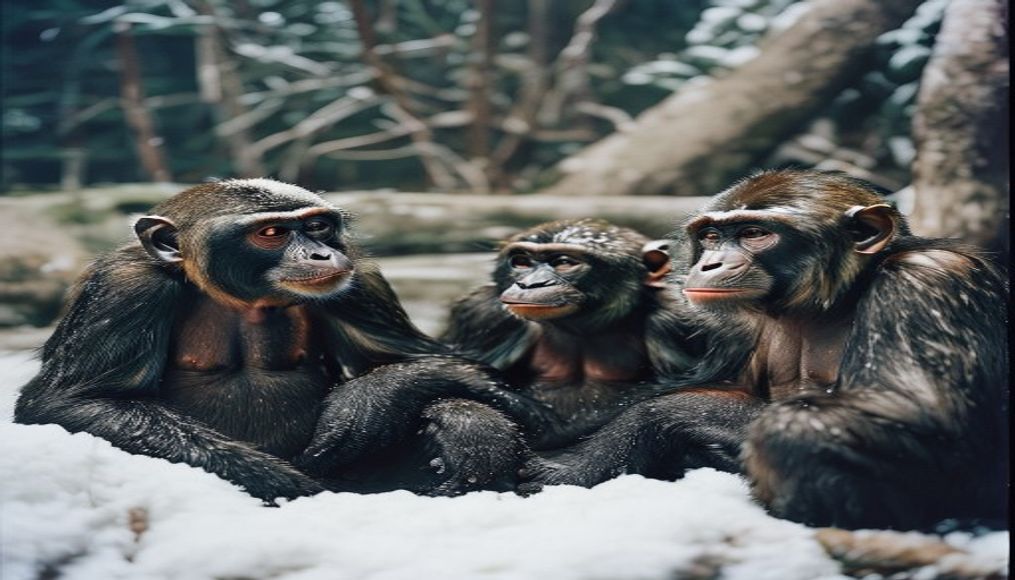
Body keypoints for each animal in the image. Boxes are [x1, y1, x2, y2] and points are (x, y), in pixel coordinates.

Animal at [14, 178, 443, 504]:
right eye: (272, 233)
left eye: (317, 227)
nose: (321, 254)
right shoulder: (123, 288)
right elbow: (73, 401)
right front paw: (276, 479)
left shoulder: (361, 280)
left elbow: (410, 360)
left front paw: (365, 405)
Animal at [295, 219, 706, 494]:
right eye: (522, 261)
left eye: (564, 262)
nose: (531, 282)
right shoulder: (483, 317)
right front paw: (466, 427)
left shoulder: (682, 322)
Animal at [528, 170, 1008, 531]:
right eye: (712, 235)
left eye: (754, 233)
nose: (711, 263)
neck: (826, 302)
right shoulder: (727, 325)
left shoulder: (929, 280)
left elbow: (913, 405)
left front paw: (665, 415)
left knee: (793, 432)